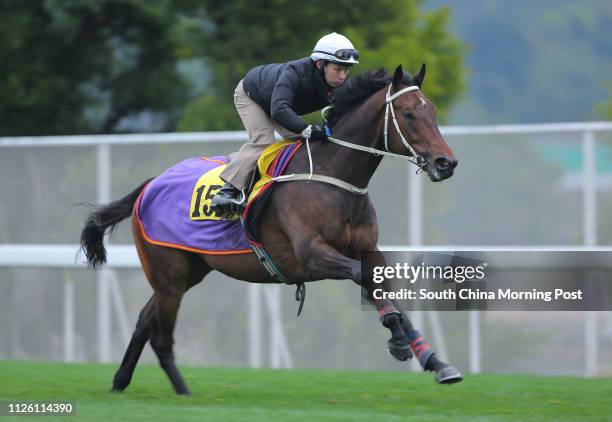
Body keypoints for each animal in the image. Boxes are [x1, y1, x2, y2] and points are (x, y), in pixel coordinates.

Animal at [82, 64, 464, 394]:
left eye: (432, 112)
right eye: (409, 114)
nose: (446, 163)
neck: (333, 175)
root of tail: (150, 184)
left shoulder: (368, 250)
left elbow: (380, 284)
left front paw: (434, 361)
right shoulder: (311, 255)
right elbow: (364, 277)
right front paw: (398, 340)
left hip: (189, 270)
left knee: (145, 320)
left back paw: (120, 381)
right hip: (170, 273)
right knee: (160, 333)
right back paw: (182, 392)